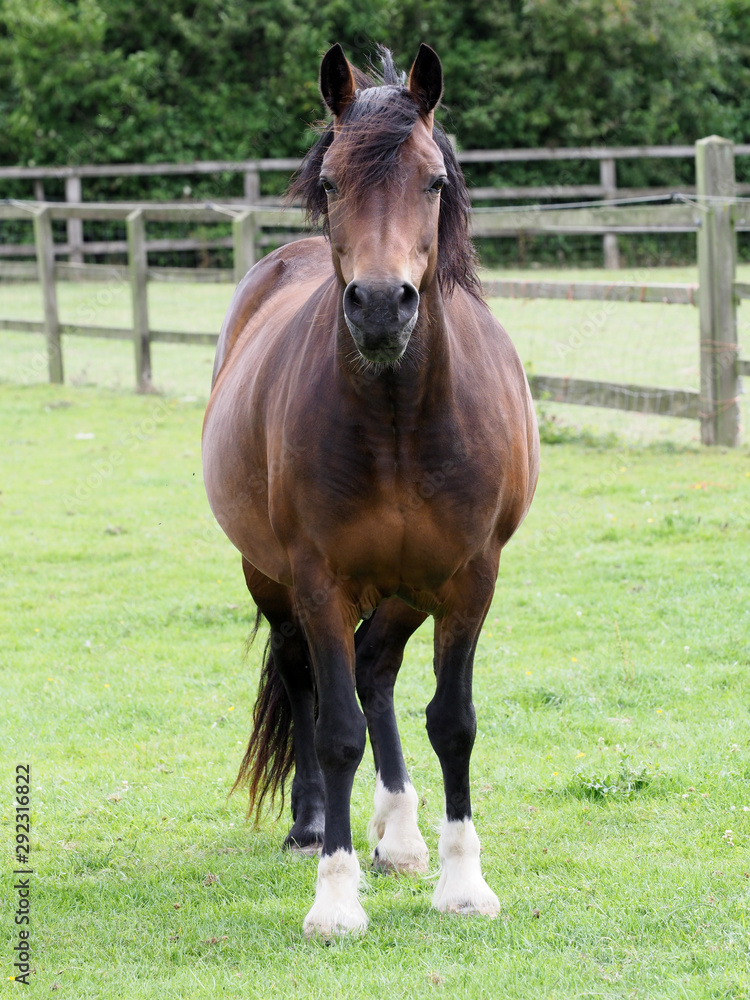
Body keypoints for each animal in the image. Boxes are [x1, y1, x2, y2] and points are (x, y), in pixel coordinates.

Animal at [202, 42, 539, 936]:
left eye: (432, 181)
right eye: (330, 183)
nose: (383, 305)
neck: (399, 421)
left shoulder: (469, 577)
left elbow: (452, 722)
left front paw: (462, 883)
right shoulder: (319, 578)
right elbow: (335, 731)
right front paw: (335, 895)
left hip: (408, 585)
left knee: (376, 666)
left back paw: (400, 832)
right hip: (273, 577)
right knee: (307, 677)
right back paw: (314, 824)